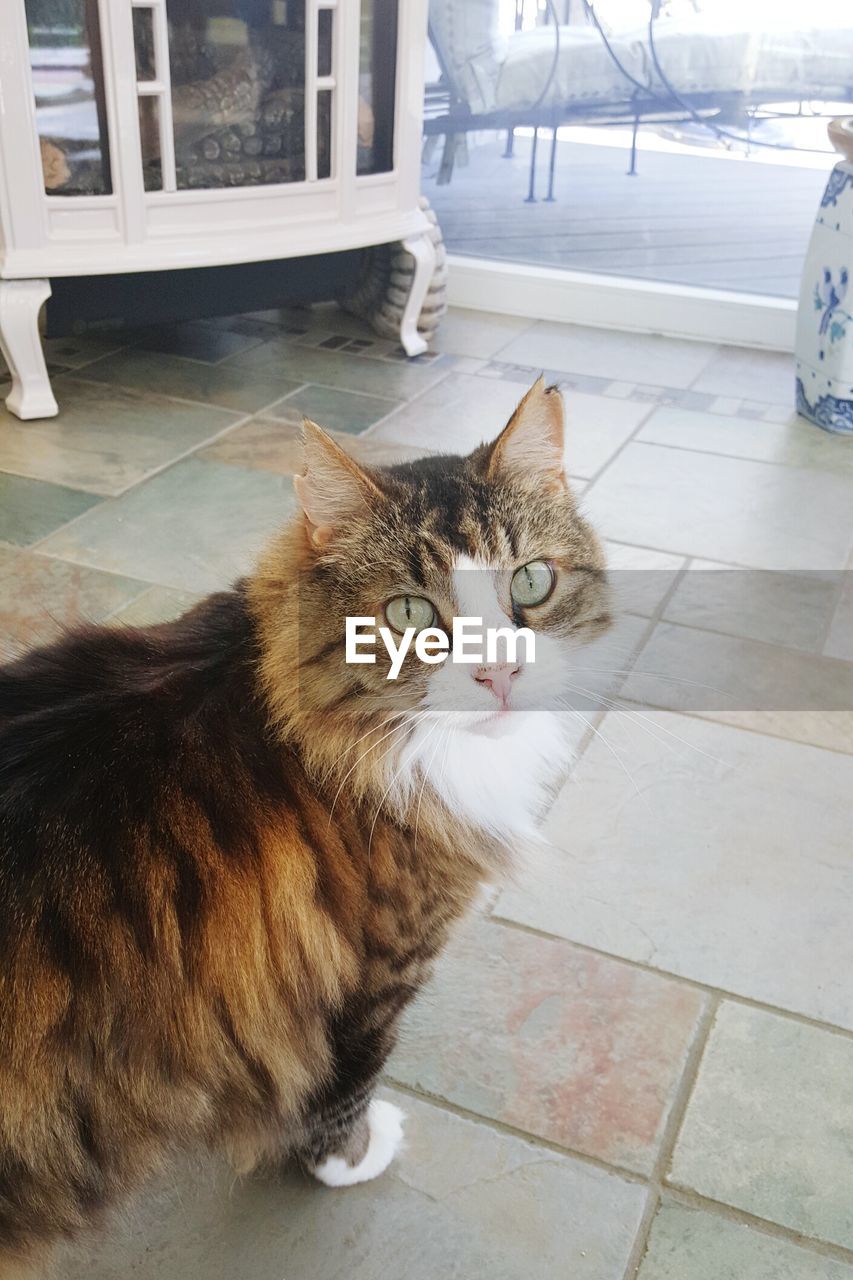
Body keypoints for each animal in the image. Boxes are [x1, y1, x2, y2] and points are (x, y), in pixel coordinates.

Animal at [0, 373, 612, 1274]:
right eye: (407, 612)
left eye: (530, 583)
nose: (499, 674)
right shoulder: (375, 969)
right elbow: (345, 1083)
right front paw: (350, 1160)